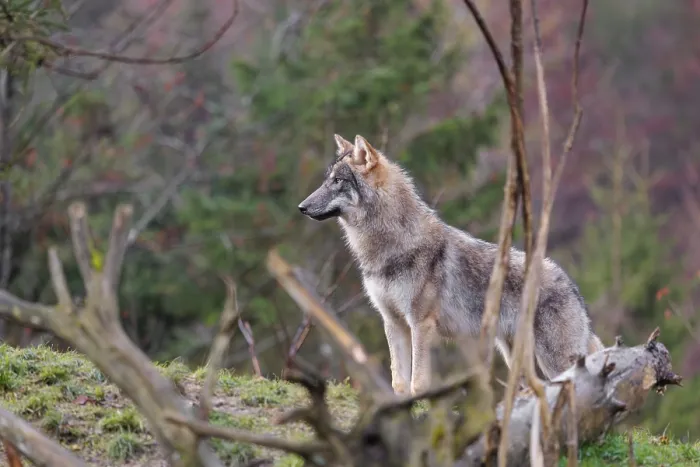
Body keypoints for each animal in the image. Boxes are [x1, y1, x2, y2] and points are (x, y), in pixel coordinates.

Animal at [298, 133, 604, 395]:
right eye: (327, 180)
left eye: (338, 181)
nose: (301, 207)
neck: (388, 249)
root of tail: (572, 286)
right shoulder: (393, 322)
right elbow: (399, 383)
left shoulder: (420, 324)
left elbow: (418, 384)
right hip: (514, 355)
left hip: (553, 360)